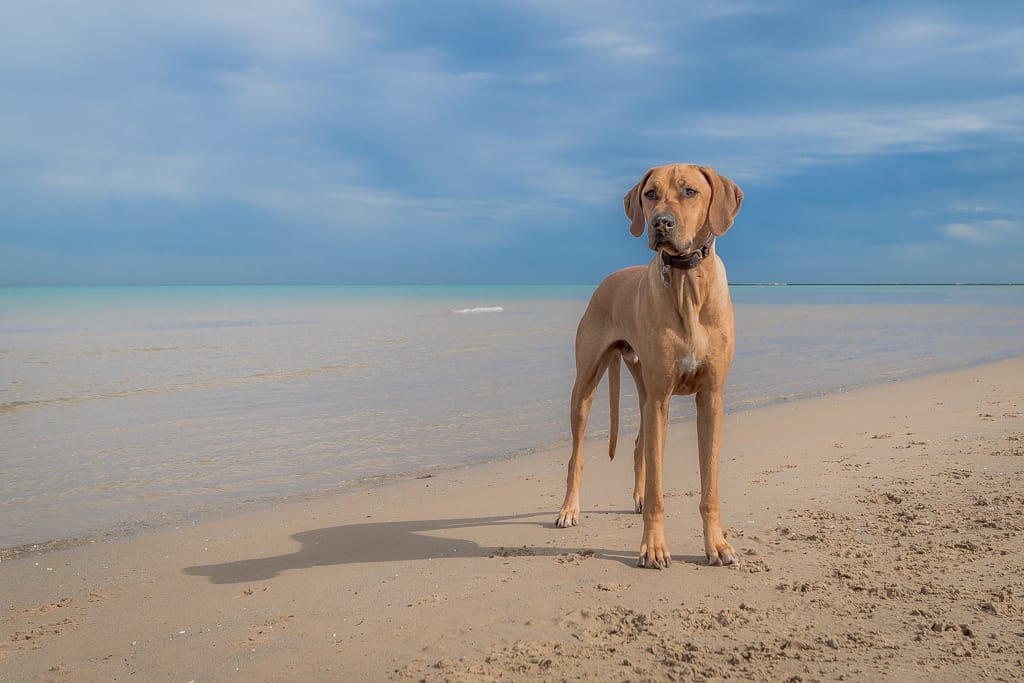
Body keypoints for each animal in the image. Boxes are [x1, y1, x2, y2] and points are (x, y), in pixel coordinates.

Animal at [561, 162, 745, 569]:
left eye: (690, 191)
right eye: (650, 194)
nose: (661, 223)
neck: (687, 283)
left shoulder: (711, 398)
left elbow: (709, 488)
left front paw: (717, 545)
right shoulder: (661, 398)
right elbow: (659, 490)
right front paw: (654, 547)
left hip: (645, 388)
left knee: (639, 446)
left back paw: (638, 496)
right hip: (587, 386)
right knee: (576, 456)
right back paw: (569, 509)